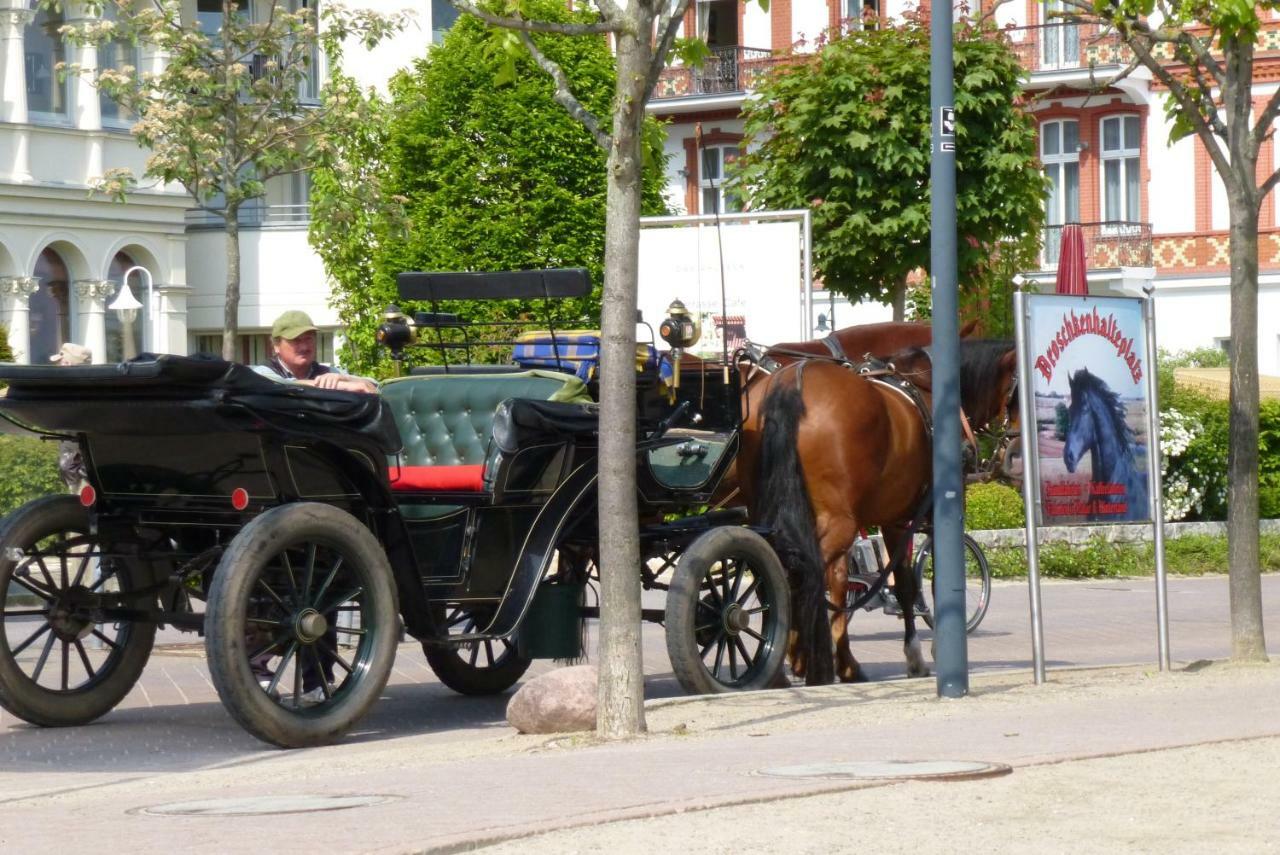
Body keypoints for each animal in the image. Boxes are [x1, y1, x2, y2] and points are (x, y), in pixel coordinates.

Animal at [747, 337, 1018, 686]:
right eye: (1018, 389)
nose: (1014, 454)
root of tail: (791, 381)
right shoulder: (925, 518)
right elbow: (919, 584)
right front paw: (924, 652)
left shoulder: (892, 520)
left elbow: (866, 583)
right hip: (840, 522)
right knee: (800, 572)